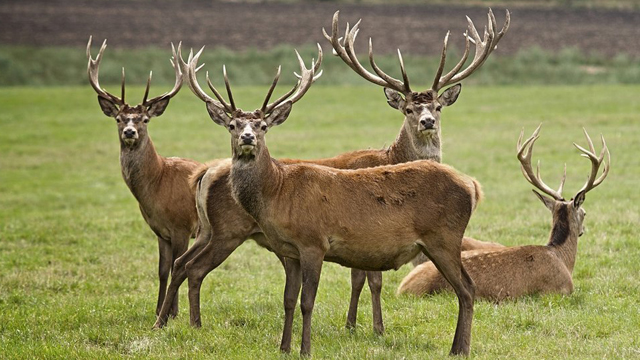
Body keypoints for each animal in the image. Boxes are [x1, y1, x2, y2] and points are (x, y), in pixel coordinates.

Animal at [86, 37, 216, 318]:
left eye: (145, 119)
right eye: (119, 118)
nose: (130, 132)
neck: (157, 185)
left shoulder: (181, 226)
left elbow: (178, 265)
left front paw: (172, 312)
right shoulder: (160, 231)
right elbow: (162, 270)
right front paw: (158, 310)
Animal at [152, 9, 508, 340]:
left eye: (438, 107)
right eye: (408, 108)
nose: (427, 122)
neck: (391, 156)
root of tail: (205, 172)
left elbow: (360, 277)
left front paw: (356, 325)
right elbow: (368, 278)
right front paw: (369, 327)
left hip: (207, 229)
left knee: (181, 264)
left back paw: (168, 319)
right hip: (228, 230)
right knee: (193, 268)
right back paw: (184, 323)